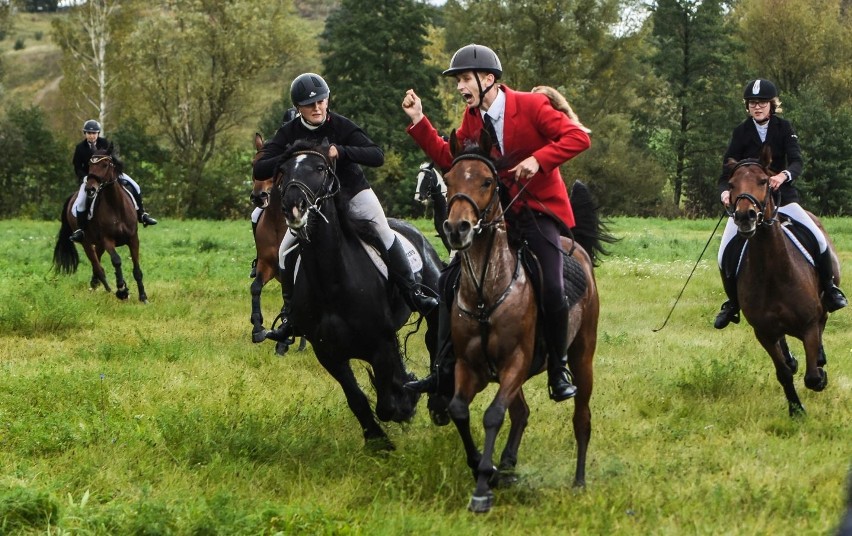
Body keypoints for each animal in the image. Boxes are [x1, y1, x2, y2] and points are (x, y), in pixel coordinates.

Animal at [52, 146, 148, 302]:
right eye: (90, 165)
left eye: (105, 165)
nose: (90, 189)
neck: (116, 206)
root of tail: (72, 196)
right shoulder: (107, 240)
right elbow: (116, 260)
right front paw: (122, 290)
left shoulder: (133, 238)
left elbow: (137, 268)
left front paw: (143, 296)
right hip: (86, 242)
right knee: (97, 266)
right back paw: (108, 289)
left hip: (98, 244)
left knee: (97, 262)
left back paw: (95, 282)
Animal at [274, 137, 446, 448]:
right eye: (283, 170)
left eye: (320, 168)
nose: (293, 206)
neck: (332, 281)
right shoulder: (327, 352)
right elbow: (356, 398)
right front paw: (377, 440)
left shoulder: (380, 343)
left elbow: (387, 401)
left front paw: (405, 404)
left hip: (433, 302)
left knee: (434, 338)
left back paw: (438, 402)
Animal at [442, 132, 604, 512]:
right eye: (448, 180)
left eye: (487, 181)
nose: (457, 229)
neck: (486, 293)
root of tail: (576, 247)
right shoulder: (469, 366)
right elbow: (459, 410)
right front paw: (481, 466)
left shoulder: (515, 362)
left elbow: (492, 415)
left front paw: (482, 487)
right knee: (522, 413)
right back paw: (507, 466)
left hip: (582, 356)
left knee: (581, 418)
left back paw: (578, 481)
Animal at [724, 149, 840, 416]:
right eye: (731, 184)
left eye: (764, 181)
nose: (745, 217)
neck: (772, 273)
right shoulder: (764, 333)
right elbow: (784, 372)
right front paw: (796, 410)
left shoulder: (809, 324)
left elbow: (812, 377)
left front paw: (820, 374)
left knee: (824, 321)